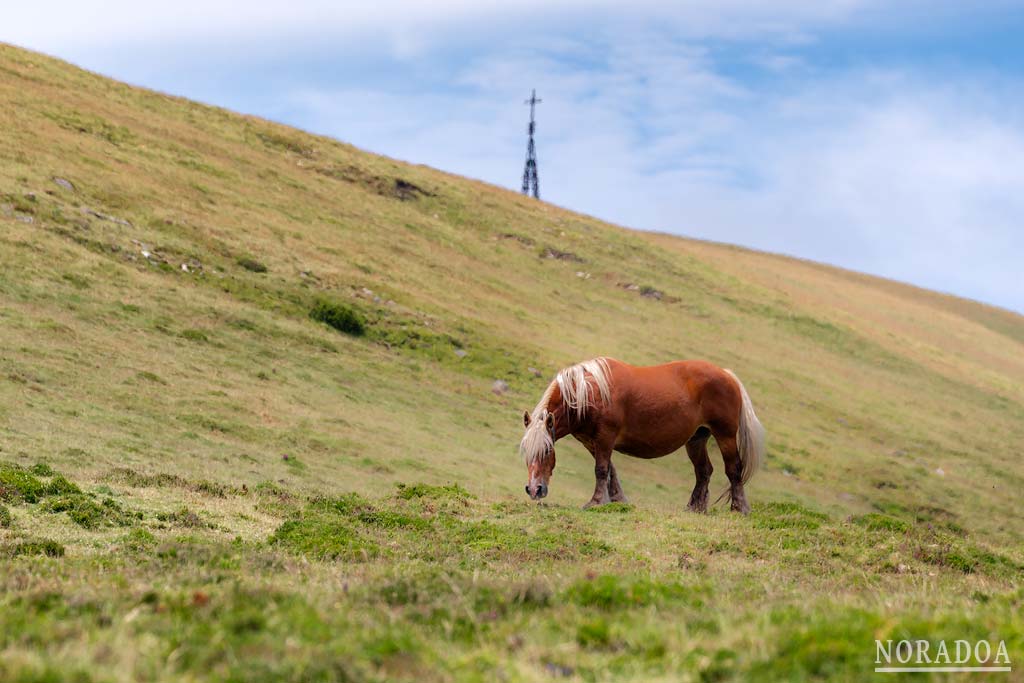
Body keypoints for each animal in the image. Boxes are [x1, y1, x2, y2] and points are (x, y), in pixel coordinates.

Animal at [520, 357, 765, 513]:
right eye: (525, 453)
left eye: (547, 450)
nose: (534, 490)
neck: (588, 393)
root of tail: (727, 374)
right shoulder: (592, 442)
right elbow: (610, 471)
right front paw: (617, 500)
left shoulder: (605, 437)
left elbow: (601, 470)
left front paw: (596, 502)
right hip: (696, 439)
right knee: (704, 471)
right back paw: (694, 508)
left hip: (725, 434)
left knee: (733, 469)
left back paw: (739, 508)